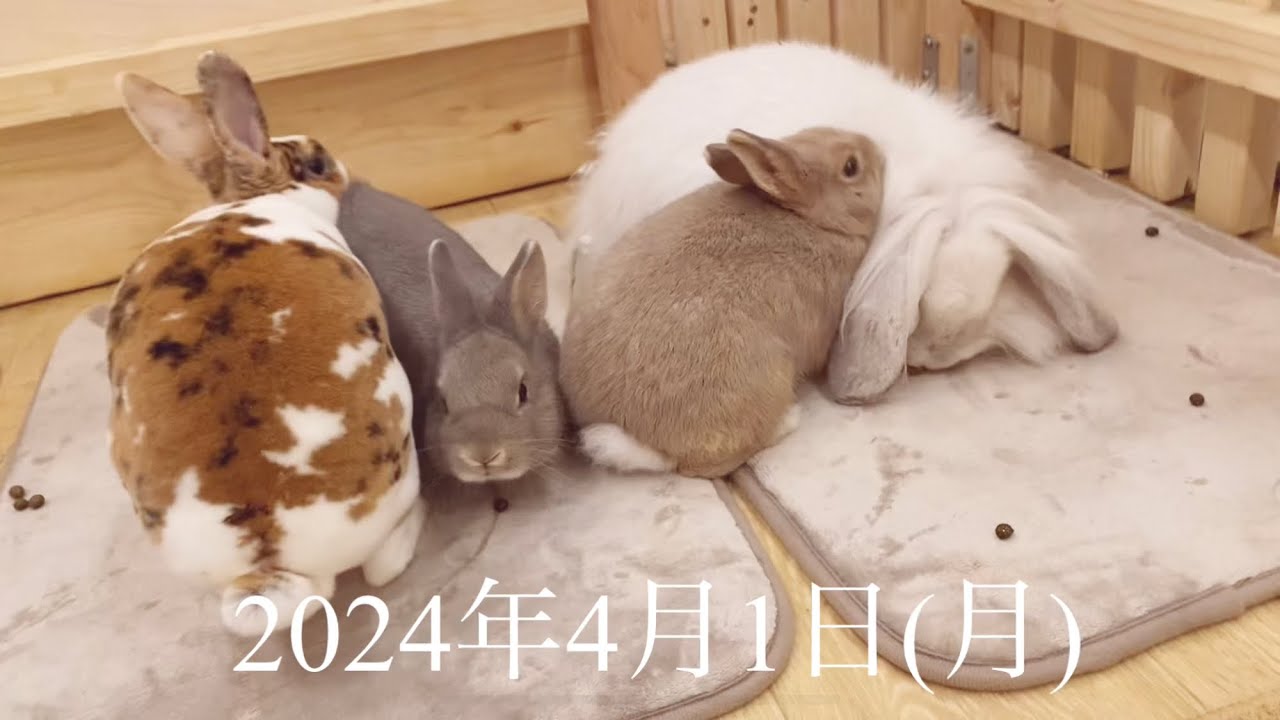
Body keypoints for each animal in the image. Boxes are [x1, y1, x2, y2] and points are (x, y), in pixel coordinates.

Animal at [560, 126, 886, 479]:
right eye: (851, 167)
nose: (878, 149)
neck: (812, 219)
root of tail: (642, 440)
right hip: (765, 379)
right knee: (701, 466)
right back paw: (787, 422)